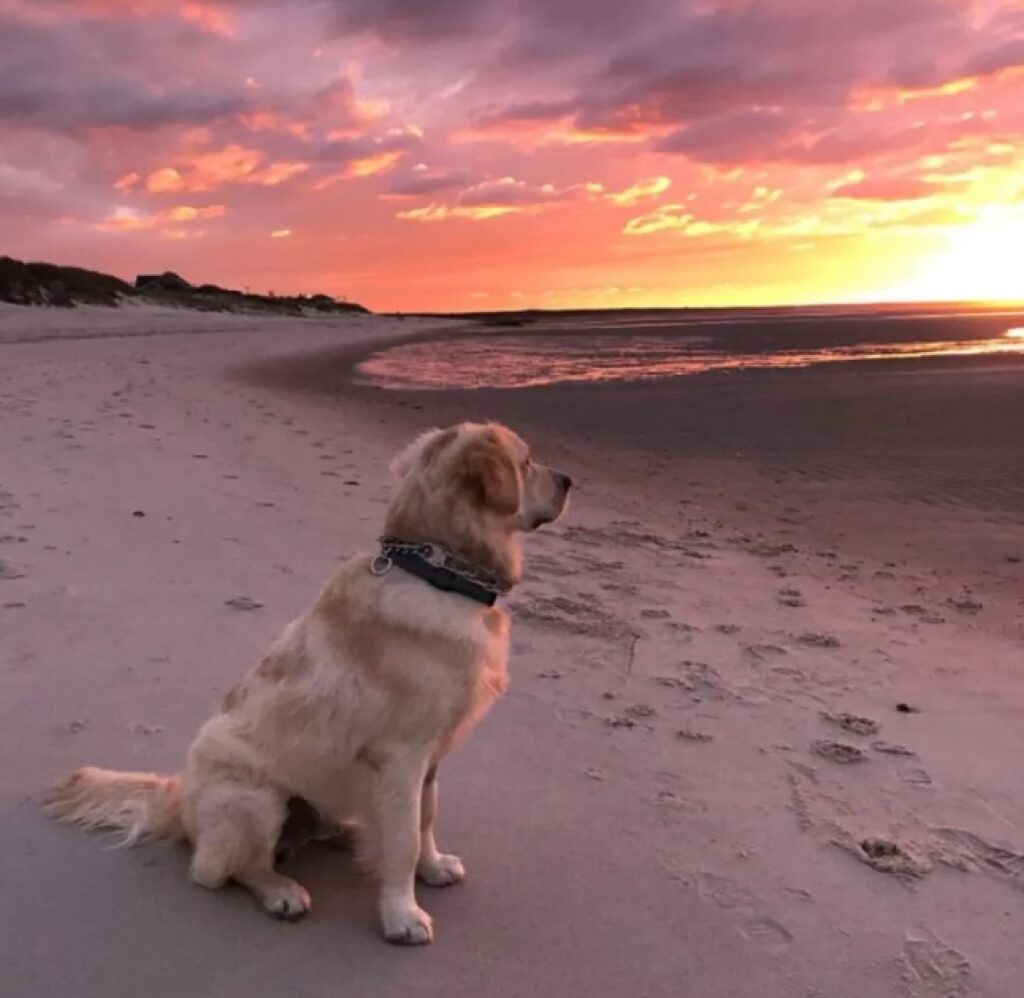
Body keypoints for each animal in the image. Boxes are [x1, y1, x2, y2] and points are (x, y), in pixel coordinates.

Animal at [44, 419, 573, 945]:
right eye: (527, 462)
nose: (569, 480)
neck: (435, 571)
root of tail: (178, 800)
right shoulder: (402, 756)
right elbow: (403, 838)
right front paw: (402, 915)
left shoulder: (431, 758)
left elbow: (425, 818)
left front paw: (433, 865)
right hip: (254, 798)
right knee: (218, 871)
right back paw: (281, 890)